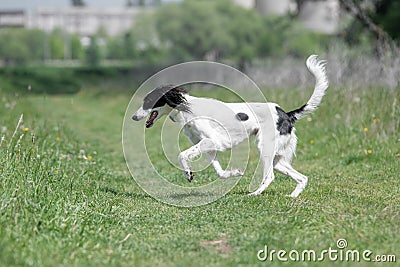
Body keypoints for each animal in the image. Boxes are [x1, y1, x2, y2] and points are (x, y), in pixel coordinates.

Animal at [132, 54, 328, 198]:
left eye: (148, 101)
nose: (134, 116)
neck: (186, 109)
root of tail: (285, 113)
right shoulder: (209, 146)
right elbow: (220, 172)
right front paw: (235, 173)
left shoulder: (215, 141)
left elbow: (182, 155)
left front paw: (187, 173)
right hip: (277, 158)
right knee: (302, 178)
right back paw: (293, 196)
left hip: (264, 148)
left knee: (270, 176)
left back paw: (255, 193)